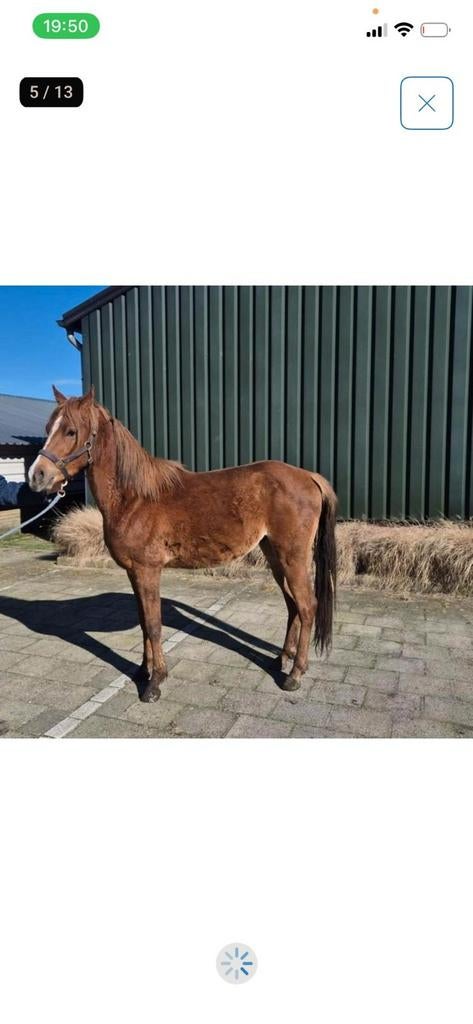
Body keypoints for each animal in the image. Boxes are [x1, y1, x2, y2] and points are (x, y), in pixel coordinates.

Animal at [29, 386, 337, 703]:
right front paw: (142, 670)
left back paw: (295, 674)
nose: (37, 476)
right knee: (292, 606)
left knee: (307, 606)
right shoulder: (134, 572)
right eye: (48, 428)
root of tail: (309, 477)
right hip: (275, 556)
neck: (134, 497)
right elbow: (143, 622)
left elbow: (154, 625)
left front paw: (155, 682)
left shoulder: (148, 570)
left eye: (71, 431)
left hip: (293, 558)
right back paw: (282, 659)